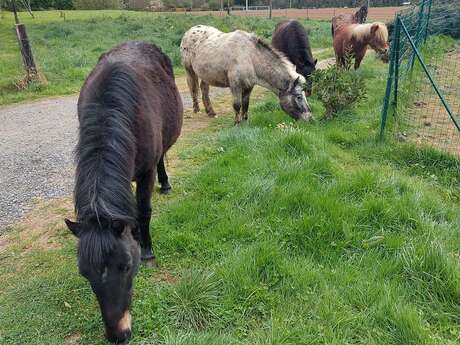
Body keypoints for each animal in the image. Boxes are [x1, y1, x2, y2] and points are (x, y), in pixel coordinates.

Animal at [65, 41, 183, 342]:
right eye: (84, 273)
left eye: (127, 266)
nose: (118, 334)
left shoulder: (145, 172)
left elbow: (143, 210)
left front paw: (147, 250)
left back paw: (165, 184)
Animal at [181, 25, 312, 125]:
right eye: (298, 97)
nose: (310, 118)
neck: (250, 56)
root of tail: (190, 30)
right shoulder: (235, 85)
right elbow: (237, 105)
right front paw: (237, 123)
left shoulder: (249, 86)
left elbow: (245, 104)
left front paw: (245, 121)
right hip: (189, 70)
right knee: (193, 89)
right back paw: (196, 109)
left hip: (205, 74)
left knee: (204, 89)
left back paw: (210, 112)